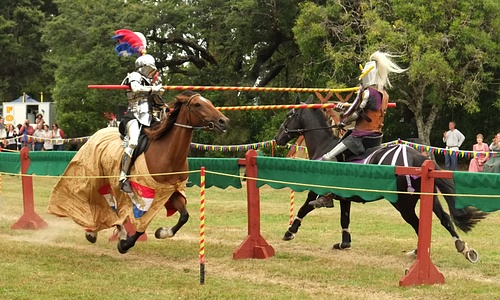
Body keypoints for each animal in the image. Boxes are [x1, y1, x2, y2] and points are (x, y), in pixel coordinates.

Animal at [48, 91, 229, 253]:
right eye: (198, 104)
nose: (223, 121)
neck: (167, 154)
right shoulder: (144, 197)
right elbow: (141, 226)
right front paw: (125, 245)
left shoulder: (171, 191)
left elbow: (184, 216)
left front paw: (162, 232)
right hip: (95, 177)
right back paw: (94, 232)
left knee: (111, 208)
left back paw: (113, 232)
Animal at [272, 96, 486, 262]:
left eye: (289, 115)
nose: (278, 138)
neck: (325, 145)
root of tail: (417, 157)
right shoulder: (345, 198)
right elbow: (344, 219)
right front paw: (344, 243)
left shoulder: (315, 190)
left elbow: (304, 208)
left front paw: (290, 231)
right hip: (428, 198)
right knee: (444, 219)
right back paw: (463, 248)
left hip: (403, 204)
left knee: (418, 223)